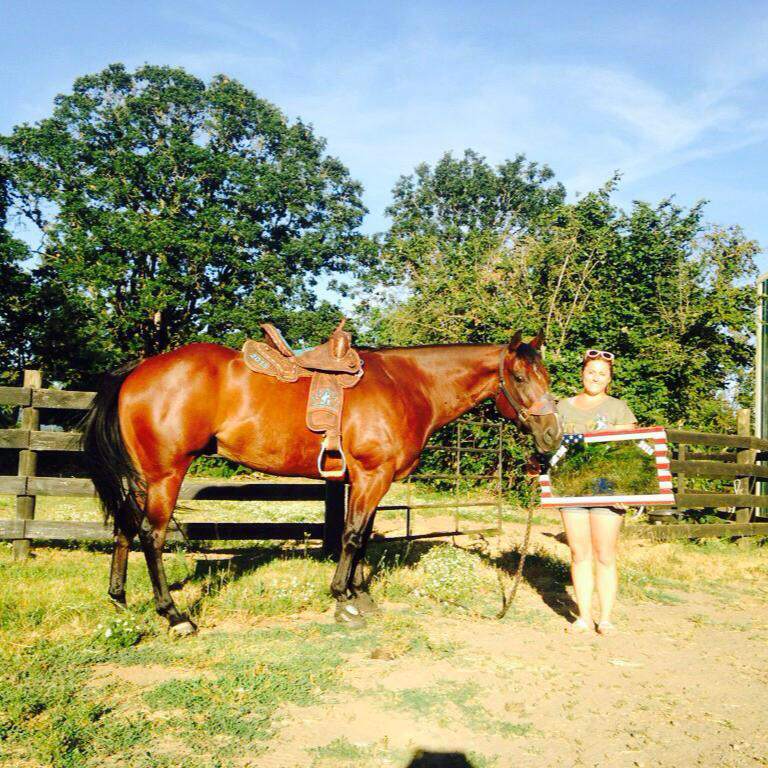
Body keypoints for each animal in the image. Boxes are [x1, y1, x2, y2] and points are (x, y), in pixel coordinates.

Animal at [82, 332, 560, 632]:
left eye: (547, 378)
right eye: (520, 378)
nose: (552, 436)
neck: (408, 385)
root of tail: (137, 371)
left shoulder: (367, 479)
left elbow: (362, 537)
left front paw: (358, 595)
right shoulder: (371, 475)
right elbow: (352, 537)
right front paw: (343, 602)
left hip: (142, 476)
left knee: (125, 527)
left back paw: (119, 598)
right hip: (166, 473)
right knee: (152, 535)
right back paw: (174, 615)